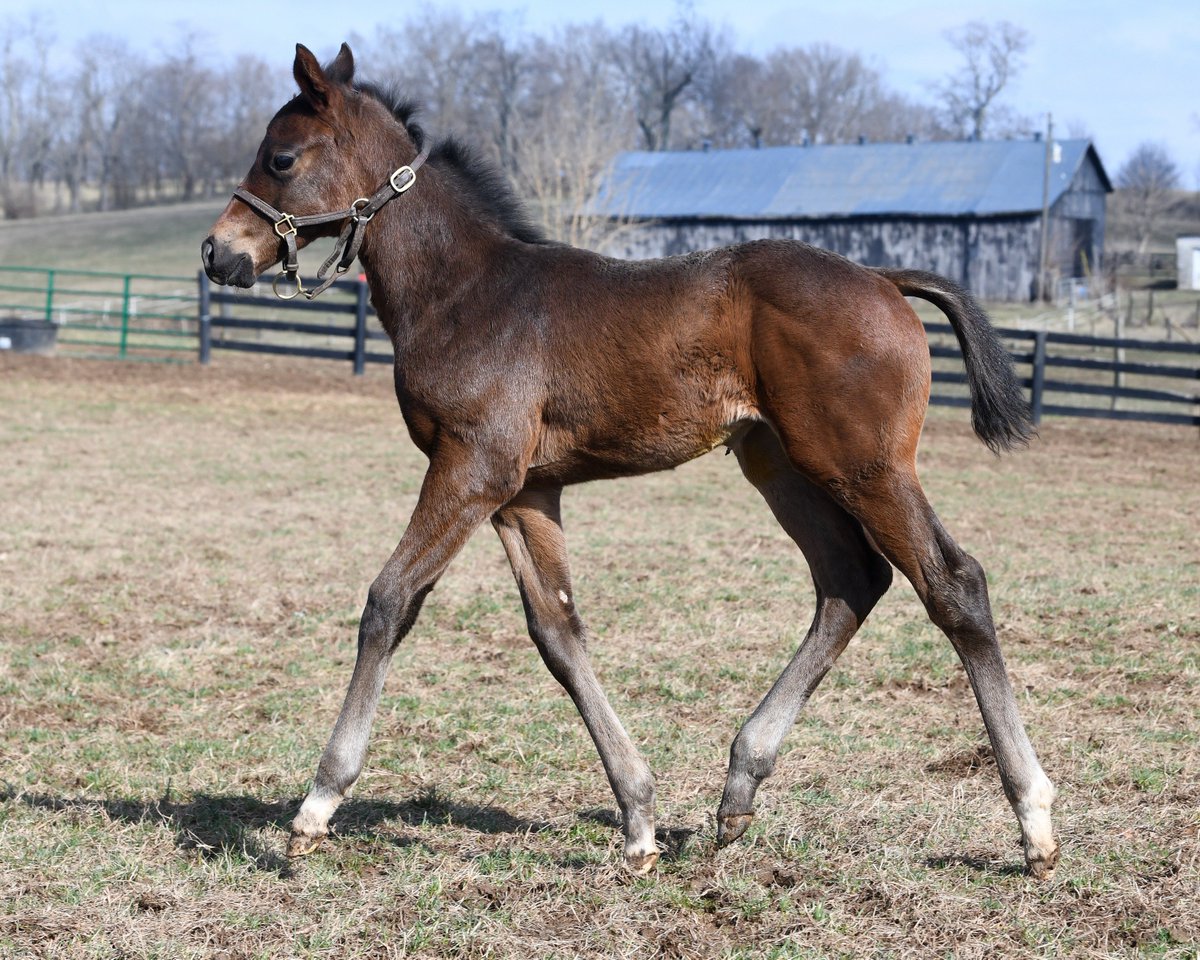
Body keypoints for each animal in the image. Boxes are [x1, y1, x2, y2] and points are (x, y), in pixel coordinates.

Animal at [201, 43, 1060, 879]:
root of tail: (884, 278)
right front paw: (639, 819)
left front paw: (316, 807)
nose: (218, 252)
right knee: (851, 580)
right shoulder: (524, 491)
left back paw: (1034, 820)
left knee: (952, 583)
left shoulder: (471, 466)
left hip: (865, 466)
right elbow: (557, 631)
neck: (464, 292)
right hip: (781, 466)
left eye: (280, 158)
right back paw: (738, 788)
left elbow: (390, 601)